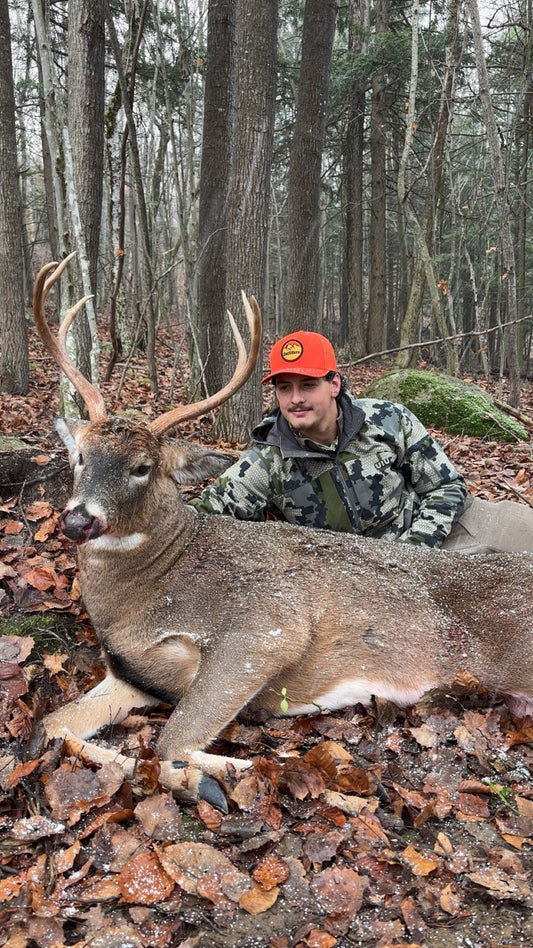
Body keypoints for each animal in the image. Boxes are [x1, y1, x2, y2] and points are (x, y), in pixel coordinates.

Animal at [26, 254, 533, 812]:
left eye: (143, 467)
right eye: (80, 455)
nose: (79, 520)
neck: (153, 584)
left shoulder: (267, 626)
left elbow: (168, 743)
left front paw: (236, 773)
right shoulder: (132, 675)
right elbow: (52, 728)